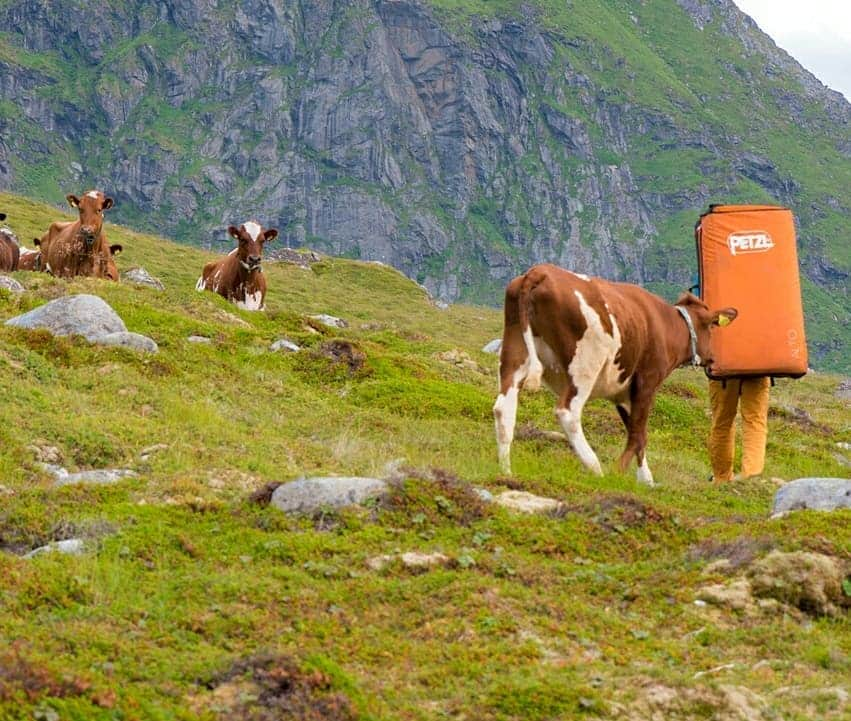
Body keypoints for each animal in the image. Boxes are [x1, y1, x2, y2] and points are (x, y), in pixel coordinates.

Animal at [492, 264, 740, 484]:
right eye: (712, 326)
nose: (713, 358)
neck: (666, 325)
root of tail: (539, 272)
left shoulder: (623, 390)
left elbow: (637, 433)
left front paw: (645, 478)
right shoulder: (647, 381)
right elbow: (638, 432)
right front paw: (620, 472)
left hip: (515, 352)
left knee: (504, 408)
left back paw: (506, 469)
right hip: (584, 365)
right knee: (568, 411)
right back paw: (595, 467)